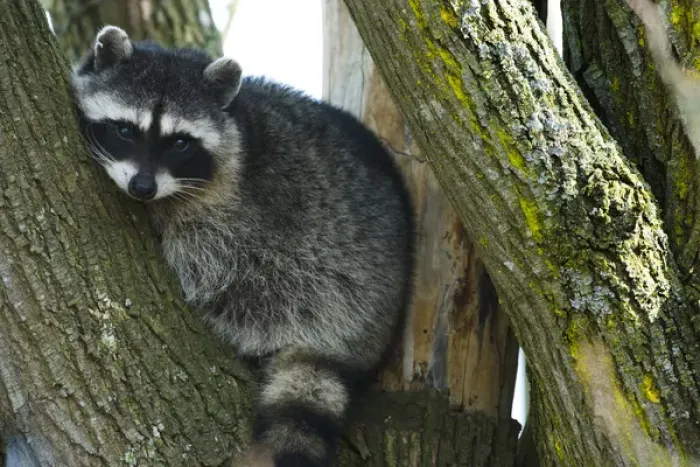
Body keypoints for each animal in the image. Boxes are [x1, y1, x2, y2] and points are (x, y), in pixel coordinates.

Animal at [72, 26, 415, 467]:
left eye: (179, 143)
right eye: (125, 130)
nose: (142, 188)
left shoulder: (237, 218)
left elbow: (206, 263)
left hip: (329, 278)